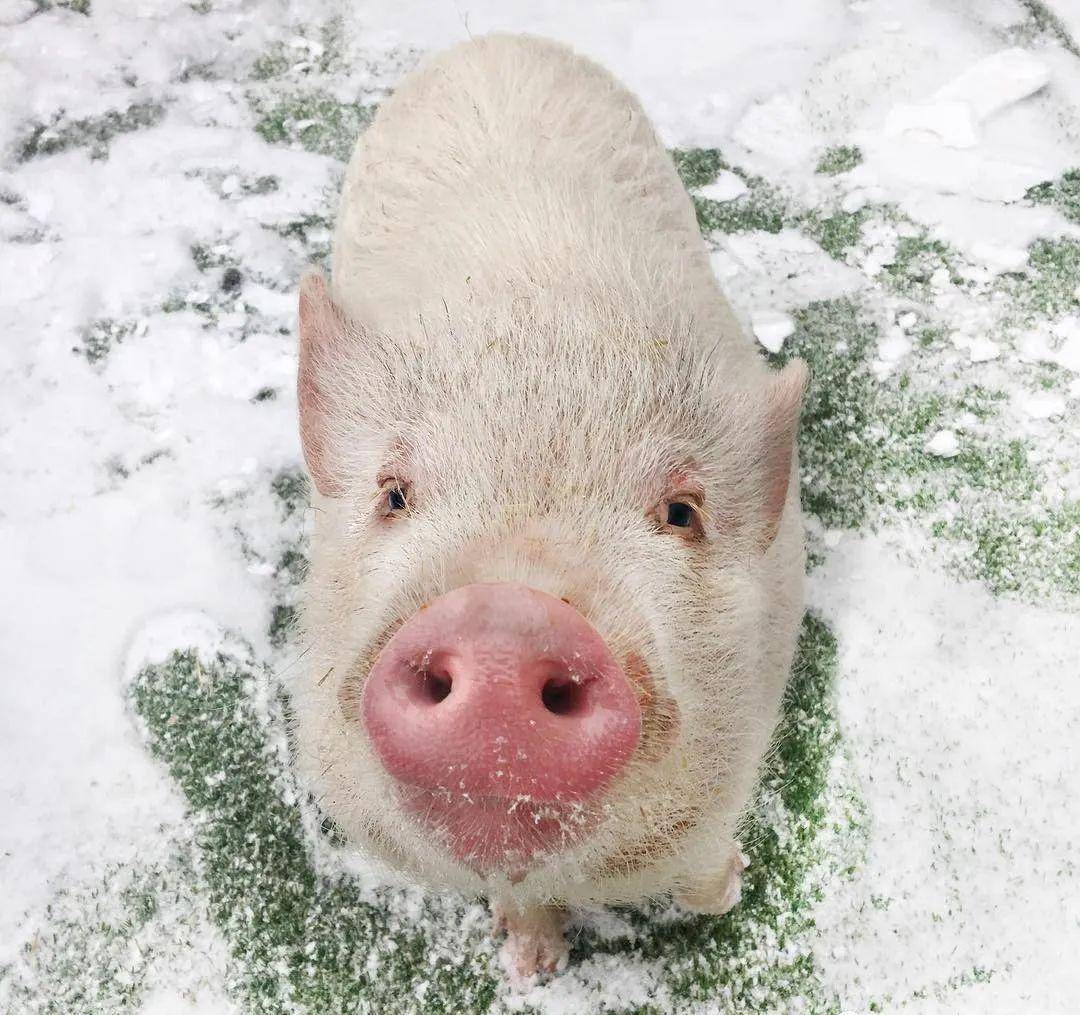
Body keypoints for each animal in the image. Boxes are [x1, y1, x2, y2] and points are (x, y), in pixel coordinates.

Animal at [291, 33, 807, 984]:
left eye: (681, 511)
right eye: (393, 493)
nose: (505, 620)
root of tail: (495, 39)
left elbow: (703, 864)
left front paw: (725, 890)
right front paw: (533, 966)